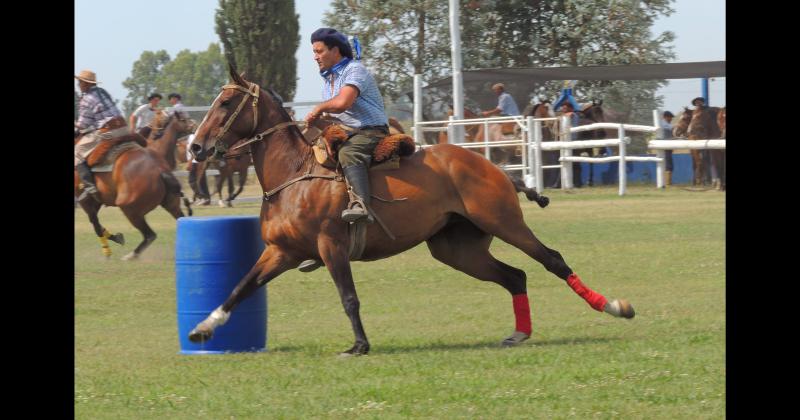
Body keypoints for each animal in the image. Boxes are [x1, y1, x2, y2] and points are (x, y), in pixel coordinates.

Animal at [75, 130, 194, 260]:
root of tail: (160, 171)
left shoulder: (86, 202)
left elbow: (96, 225)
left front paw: (108, 250)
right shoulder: (95, 201)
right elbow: (95, 223)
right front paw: (116, 239)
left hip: (130, 210)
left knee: (150, 235)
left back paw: (131, 255)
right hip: (171, 205)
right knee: (181, 221)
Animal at [181, 66, 632, 354]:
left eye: (226, 102)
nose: (196, 147)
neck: (294, 174)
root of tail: (493, 167)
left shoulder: (331, 247)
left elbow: (349, 297)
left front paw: (359, 345)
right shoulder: (281, 252)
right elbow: (240, 287)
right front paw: (202, 329)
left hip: (505, 222)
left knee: (552, 259)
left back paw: (613, 306)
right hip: (457, 248)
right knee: (514, 276)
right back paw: (519, 334)